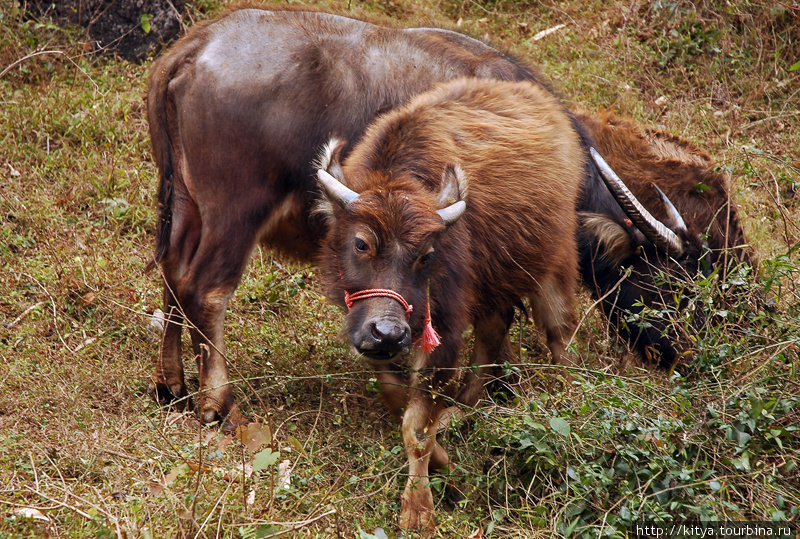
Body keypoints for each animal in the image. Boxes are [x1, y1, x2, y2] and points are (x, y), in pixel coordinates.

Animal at [145, 6, 752, 430]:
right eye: (675, 285)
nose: (690, 354)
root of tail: (193, 48)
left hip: (183, 206)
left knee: (172, 275)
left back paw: (170, 385)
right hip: (233, 214)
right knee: (206, 290)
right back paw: (217, 402)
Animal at [314, 77, 588, 532]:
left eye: (427, 255)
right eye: (361, 243)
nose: (389, 332)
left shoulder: (442, 329)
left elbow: (417, 428)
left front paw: (419, 506)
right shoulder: (364, 328)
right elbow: (395, 396)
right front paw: (445, 455)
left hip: (554, 261)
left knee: (560, 333)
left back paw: (571, 397)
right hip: (492, 282)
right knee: (495, 328)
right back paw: (463, 408)